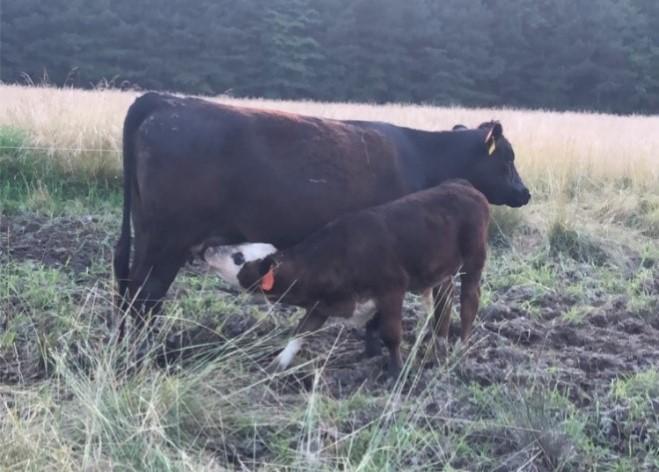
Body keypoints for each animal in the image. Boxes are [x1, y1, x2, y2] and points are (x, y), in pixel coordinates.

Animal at [114, 92, 532, 336]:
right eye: (508, 157)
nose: (525, 192)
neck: (425, 157)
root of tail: (165, 100)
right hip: (168, 241)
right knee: (144, 296)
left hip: (146, 233)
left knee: (130, 291)